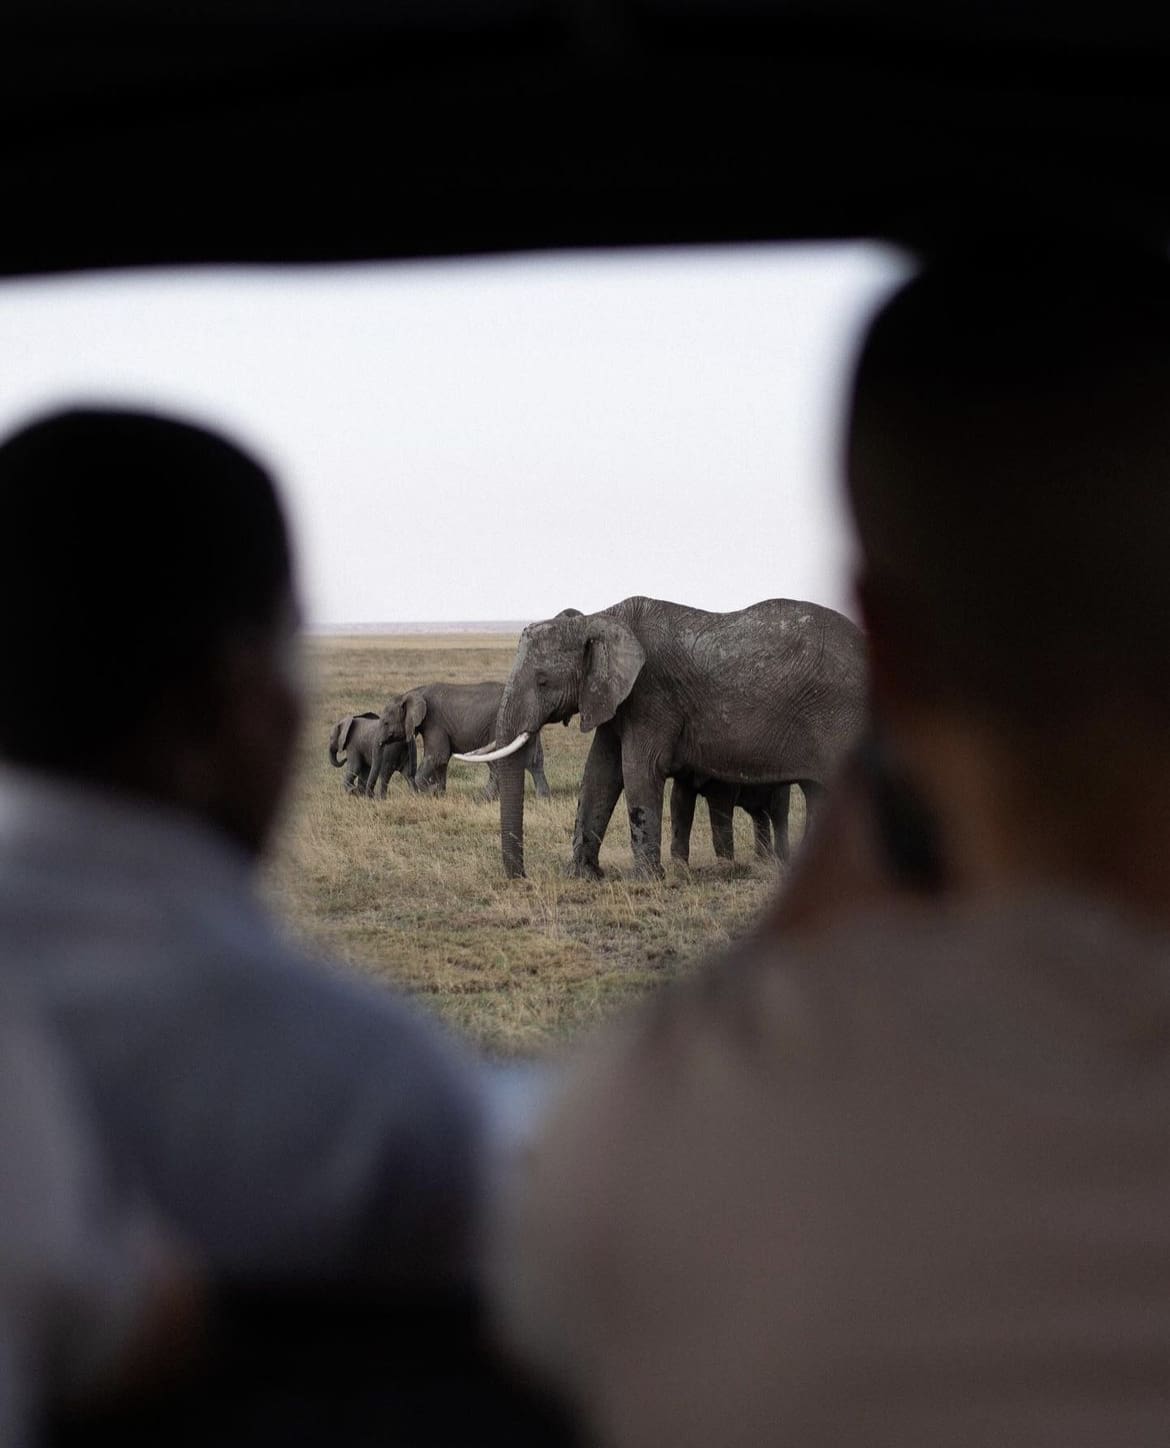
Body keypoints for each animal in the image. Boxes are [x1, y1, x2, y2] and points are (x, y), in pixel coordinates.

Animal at [376, 680, 556, 805]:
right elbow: (442, 760)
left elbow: (437, 756)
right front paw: (438, 795)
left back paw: (481, 800)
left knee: (498, 762)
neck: (412, 692)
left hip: (498, 725)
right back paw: (543, 800)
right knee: (534, 760)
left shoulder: (434, 722)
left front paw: (429, 792)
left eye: (385, 722)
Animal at [451, 593, 863, 874]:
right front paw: (583, 875)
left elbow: (638, 770)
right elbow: (599, 774)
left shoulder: (651, 694)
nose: (520, 876)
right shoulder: (613, 697)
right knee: (819, 793)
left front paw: (647, 879)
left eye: (542, 680)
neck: (599, 619)